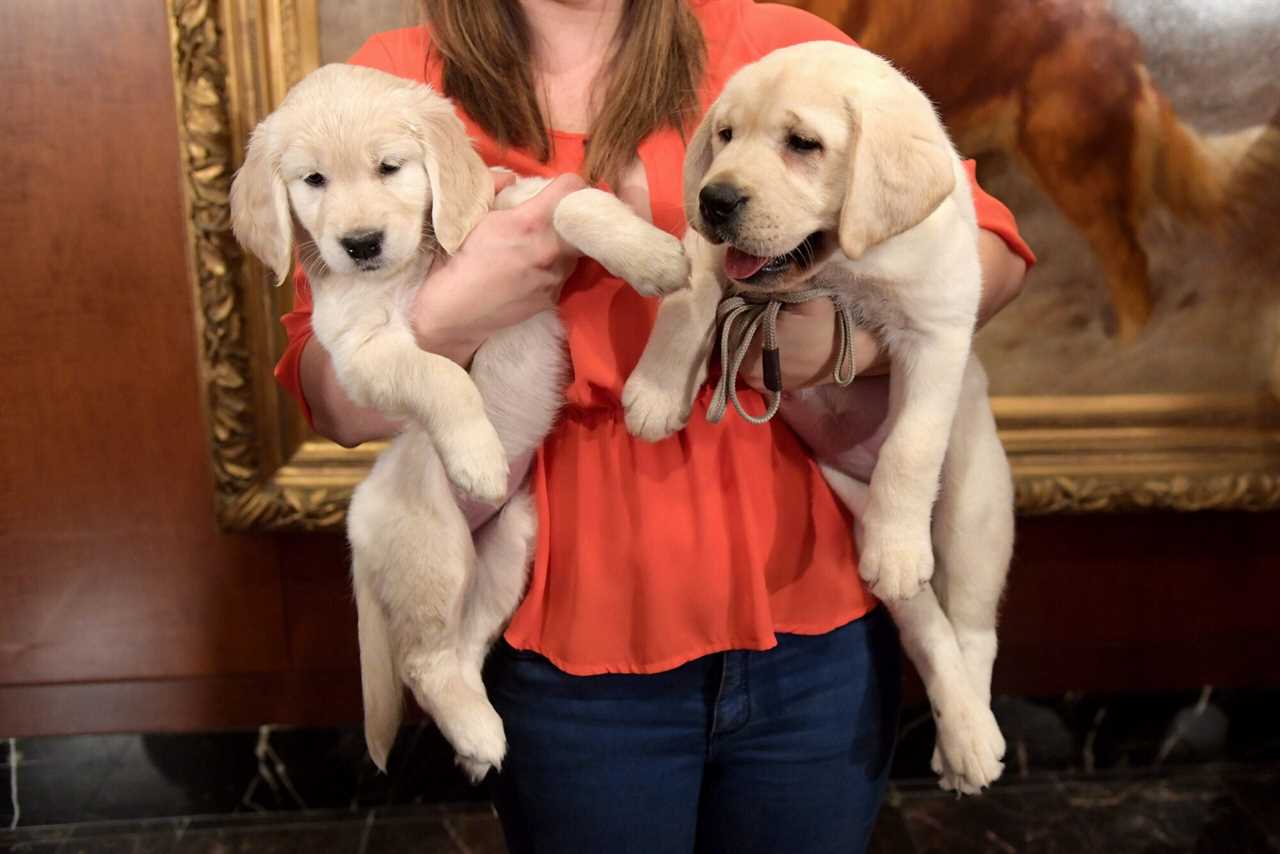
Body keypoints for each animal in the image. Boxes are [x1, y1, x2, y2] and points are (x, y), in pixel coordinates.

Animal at [230, 65, 691, 783]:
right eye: (313, 181)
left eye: (389, 167)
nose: (360, 245)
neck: (416, 262)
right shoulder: (360, 353)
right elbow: (441, 376)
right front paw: (477, 456)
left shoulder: (519, 205)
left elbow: (577, 205)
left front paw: (652, 257)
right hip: (436, 549)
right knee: (424, 662)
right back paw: (478, 734)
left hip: (512, 544)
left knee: (466, 645)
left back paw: (478, 739)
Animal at [624, 43, 1013, 793]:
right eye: (725, 135)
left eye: (803, 144)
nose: (715, 198)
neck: (837, 271)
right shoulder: (707, 252)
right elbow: (688, 298)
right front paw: (655, 392)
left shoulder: (939, 324)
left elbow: (910, 445)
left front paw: (901, 541)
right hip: (855, 514)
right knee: (927, 626)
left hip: (976, 505)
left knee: (973, 627)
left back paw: (971, 738)